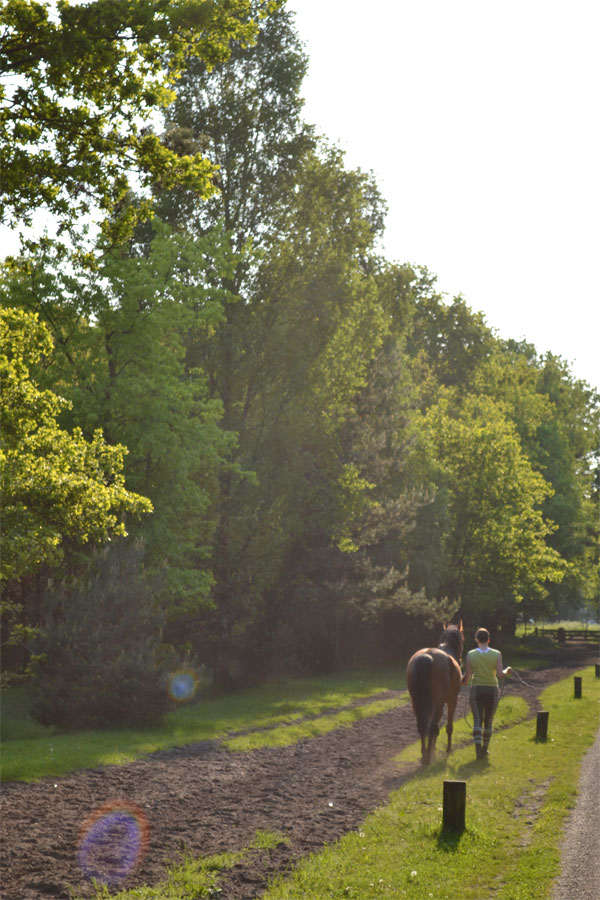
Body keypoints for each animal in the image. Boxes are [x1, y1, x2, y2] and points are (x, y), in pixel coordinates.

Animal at [408, 624, 464, 768]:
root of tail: (426, 656)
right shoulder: (451, 701)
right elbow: (448, 727)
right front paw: (447, 749)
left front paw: (433, 748)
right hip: (438, 703)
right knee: (432, 726)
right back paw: (428, 757)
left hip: (416, 702)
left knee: (422, 726)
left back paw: (424, 755)